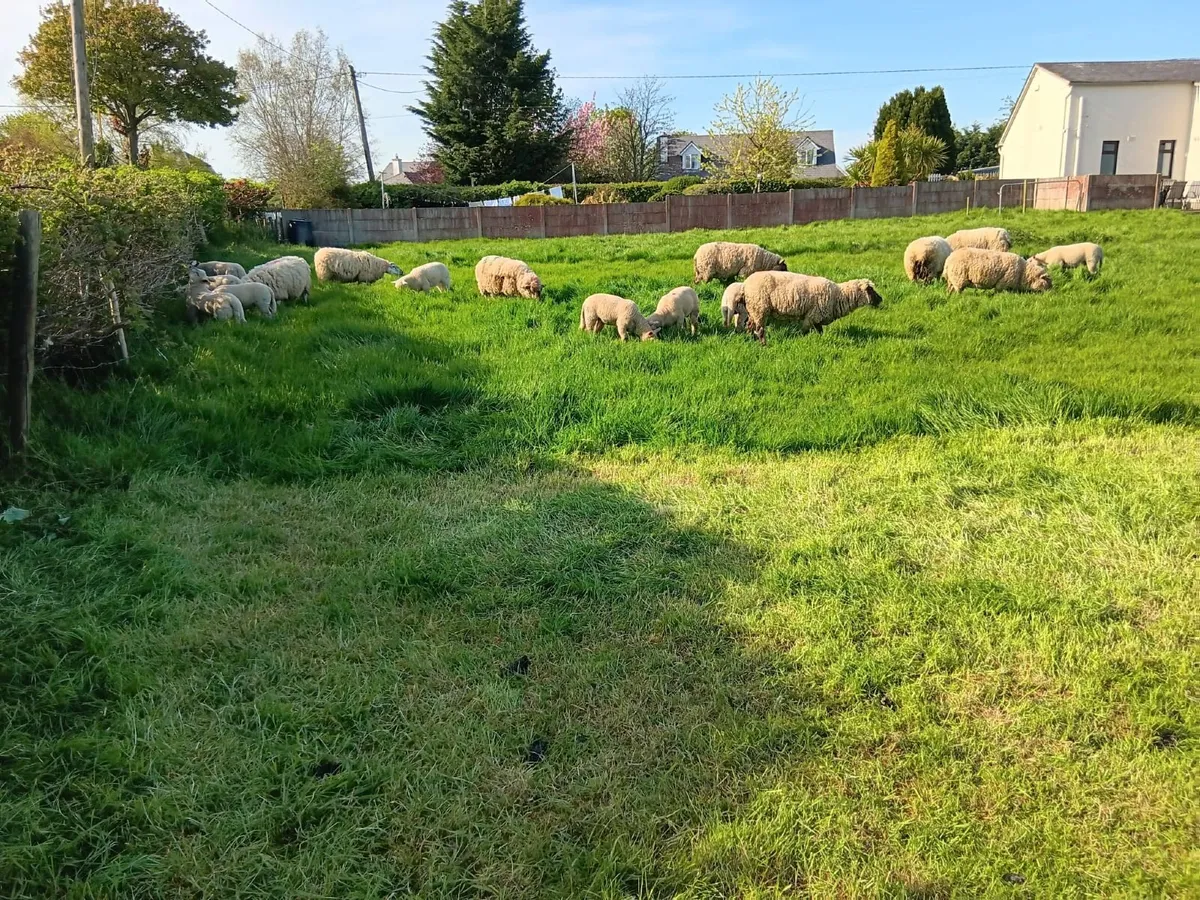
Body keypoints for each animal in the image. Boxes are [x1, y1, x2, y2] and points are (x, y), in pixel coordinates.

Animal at [742, 271, 882, 345]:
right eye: (870, 290)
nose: (881, 299)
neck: (839, 295)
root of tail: (746, 283)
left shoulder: (817, 317)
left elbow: (820, 331)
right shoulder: (812, 316)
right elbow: (804, 331)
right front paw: (799, 340)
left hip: (753, 309)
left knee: (750, 325)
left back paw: (750, 340)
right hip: (760, 308)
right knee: (760, 329)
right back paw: (764, 344)